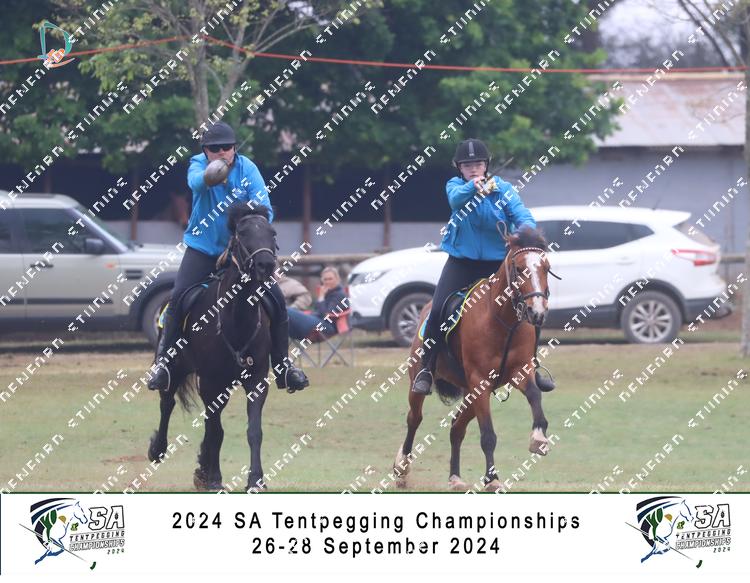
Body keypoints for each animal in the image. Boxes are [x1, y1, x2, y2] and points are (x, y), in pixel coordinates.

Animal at [148, 204, 280, 492]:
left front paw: (256, 479)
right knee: (167, 403)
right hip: (178, 369)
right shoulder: (209, 381)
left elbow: (253, 430)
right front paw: (215, 479)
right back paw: (158, 449)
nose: (266, 265)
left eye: (272, 232)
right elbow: (215, 430)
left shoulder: (256, 378)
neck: (236, 318)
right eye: (242, 233)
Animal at [394, 226, 556, 491]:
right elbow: (488, 436)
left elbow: (534, 394)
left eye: (546, 267)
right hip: (424, 382)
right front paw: (492, 479)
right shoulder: (480, 380)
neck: (502, 318)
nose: (538, 312)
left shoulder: (519, 371)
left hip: (471, 393)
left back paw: (455, 477)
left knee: (456, 427)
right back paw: (401, 468)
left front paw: (539, 437)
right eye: (520, 268)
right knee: (414, 418)